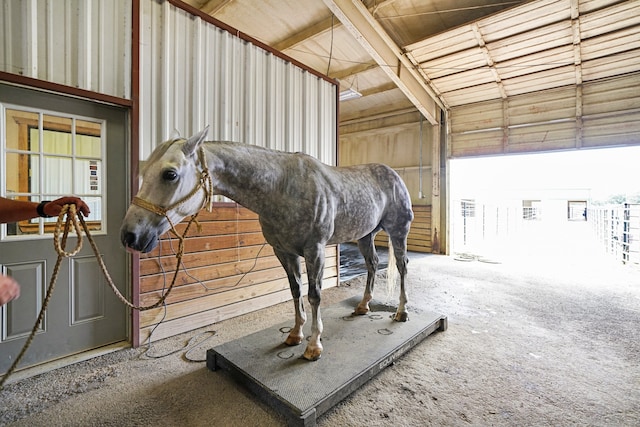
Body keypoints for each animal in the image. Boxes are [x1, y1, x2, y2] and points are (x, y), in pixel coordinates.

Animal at [120, 128, 416, 362]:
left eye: (169, 174)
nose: (129, 236)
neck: (282, 188)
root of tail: (393, 175)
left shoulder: (315, 250)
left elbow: (314, 295)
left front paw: (313, 346)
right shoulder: (283, 252)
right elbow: (295, 290)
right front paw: (295, 334)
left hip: (398, 231)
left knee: (402, 267)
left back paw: (401, 312)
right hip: (366, 235)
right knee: (373, 265)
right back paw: (363, 306)